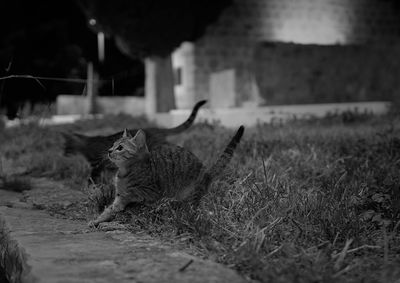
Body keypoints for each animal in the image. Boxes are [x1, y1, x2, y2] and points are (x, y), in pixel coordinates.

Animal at [63, 100, 206, 182]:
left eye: (67, 147)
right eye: (112, 145)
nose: (63, 154)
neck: (87, 144)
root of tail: (156, 129)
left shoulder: (97, 165)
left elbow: (92, 179)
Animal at [88, 125, 244, 227]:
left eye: (120, 148)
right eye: (113, 144)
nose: (109, 151)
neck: (124, 172)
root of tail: (206, 172)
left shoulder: (151, 191)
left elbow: (133, 193)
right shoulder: (118, 197)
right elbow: (109, 209)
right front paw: (97, 220)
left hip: (189, 194)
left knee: (191, 208)